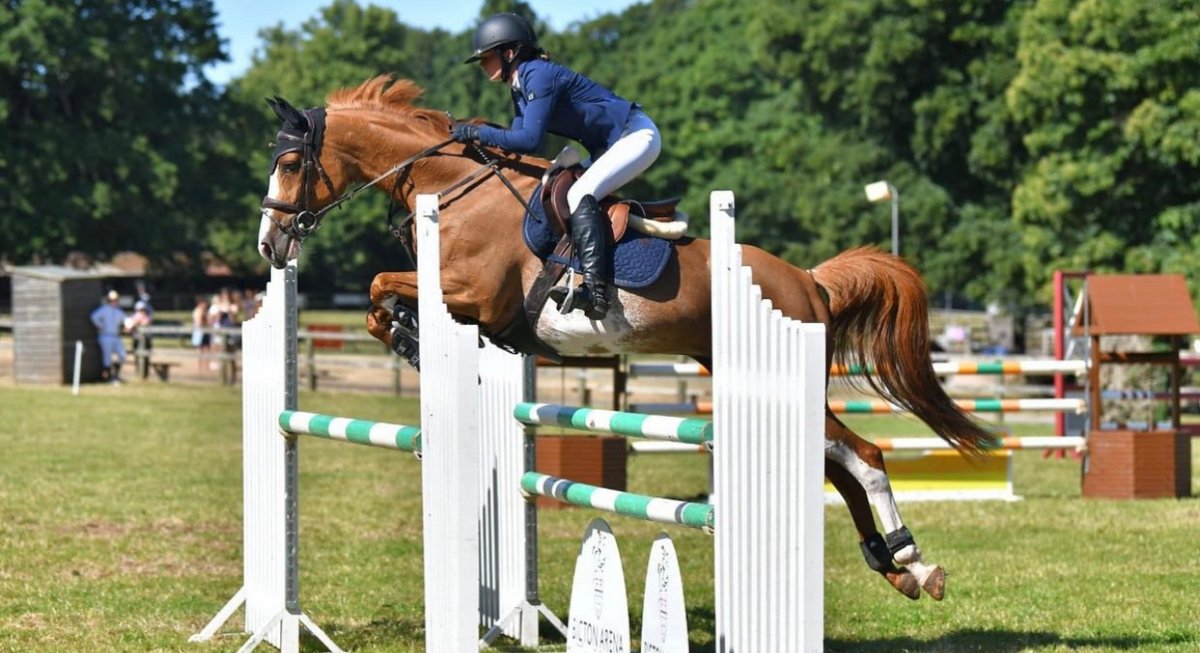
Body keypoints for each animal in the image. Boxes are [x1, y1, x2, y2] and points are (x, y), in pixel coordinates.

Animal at [257, 75, 996, 602]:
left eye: (290, 163)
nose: (270, 245)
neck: (454, 187)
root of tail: (808, 281)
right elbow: (380, 297)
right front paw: (406, 338)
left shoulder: (474, 296)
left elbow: (382, 283)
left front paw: (409, 339)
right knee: (836, 463)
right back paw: (898, 568)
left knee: (862, 455)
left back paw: (911, 556)